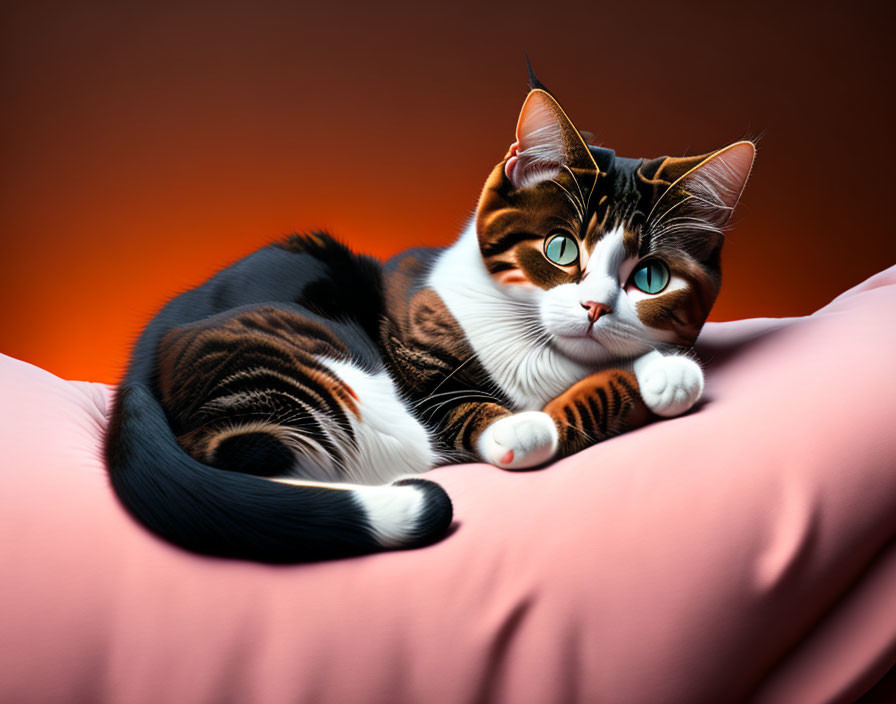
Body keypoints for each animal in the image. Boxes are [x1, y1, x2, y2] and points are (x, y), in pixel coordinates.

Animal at [101, 74, 752, 564]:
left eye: (651, 279)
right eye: (561, 248)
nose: (594, 307)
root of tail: (136, 362)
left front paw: (663, 367)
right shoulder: (425, 380)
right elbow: (541, 414)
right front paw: (542, 419)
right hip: (319, 375)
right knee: (245, 453)